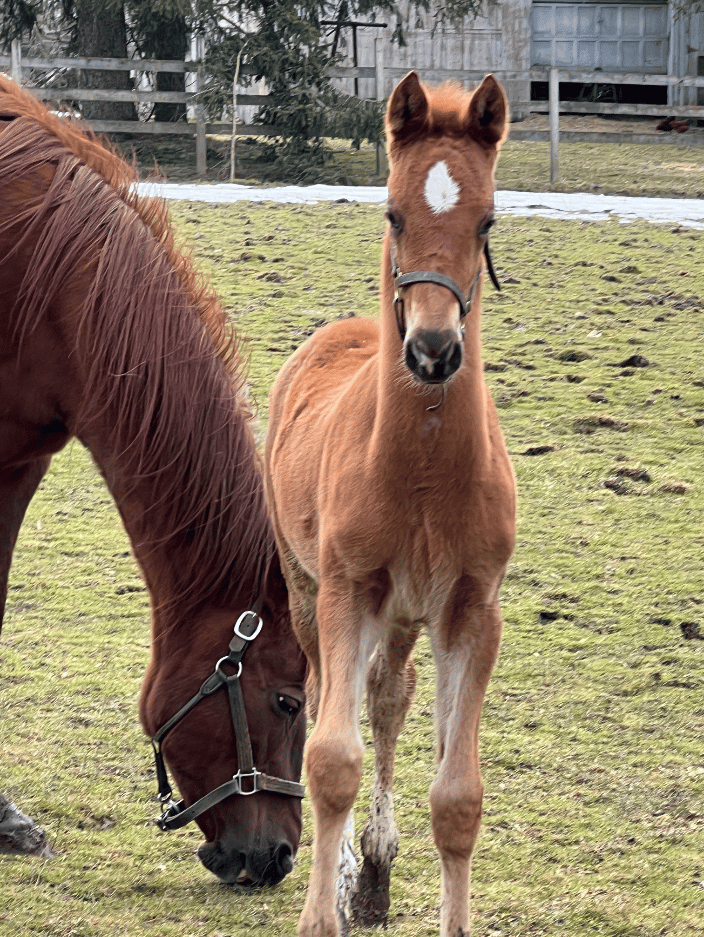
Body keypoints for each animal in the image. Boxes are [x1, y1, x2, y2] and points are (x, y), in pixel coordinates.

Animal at [264, 71, 517, 936]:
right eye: (392, 212)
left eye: (487, 219)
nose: (434, 352)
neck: (422, 471)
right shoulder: (346, 588)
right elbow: (330, 759)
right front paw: (321, 912)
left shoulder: (472, 608)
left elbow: (460, 795)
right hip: (308, 587)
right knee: (323, 698)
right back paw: (350, 872)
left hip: (407, 611)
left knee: (388, 697)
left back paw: (373, 869)